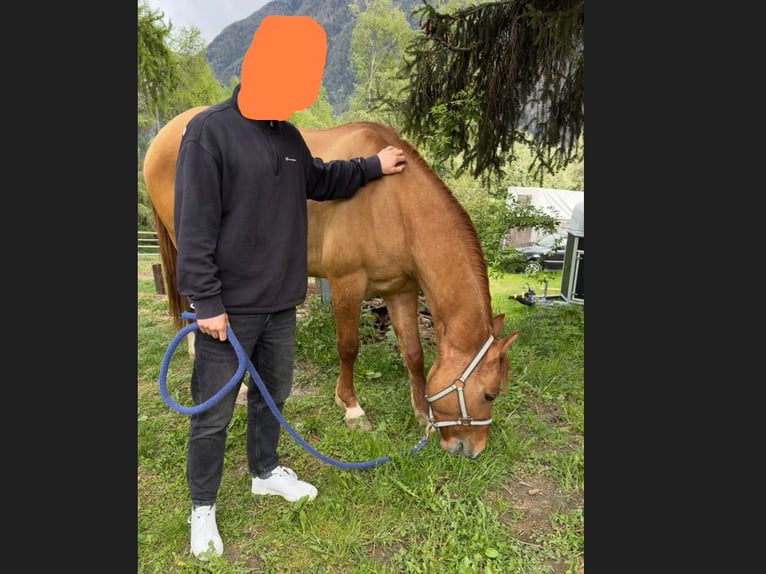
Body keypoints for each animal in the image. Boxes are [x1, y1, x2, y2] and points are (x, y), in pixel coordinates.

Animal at [142, 107, 519, 458]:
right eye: (489, 393)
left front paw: (421, 414)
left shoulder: (400, 290)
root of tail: (162, 137)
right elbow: (349, 346)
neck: (393, 202)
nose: (473, 449)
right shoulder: (346, 284)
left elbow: (413, 353)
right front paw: (352, 408)